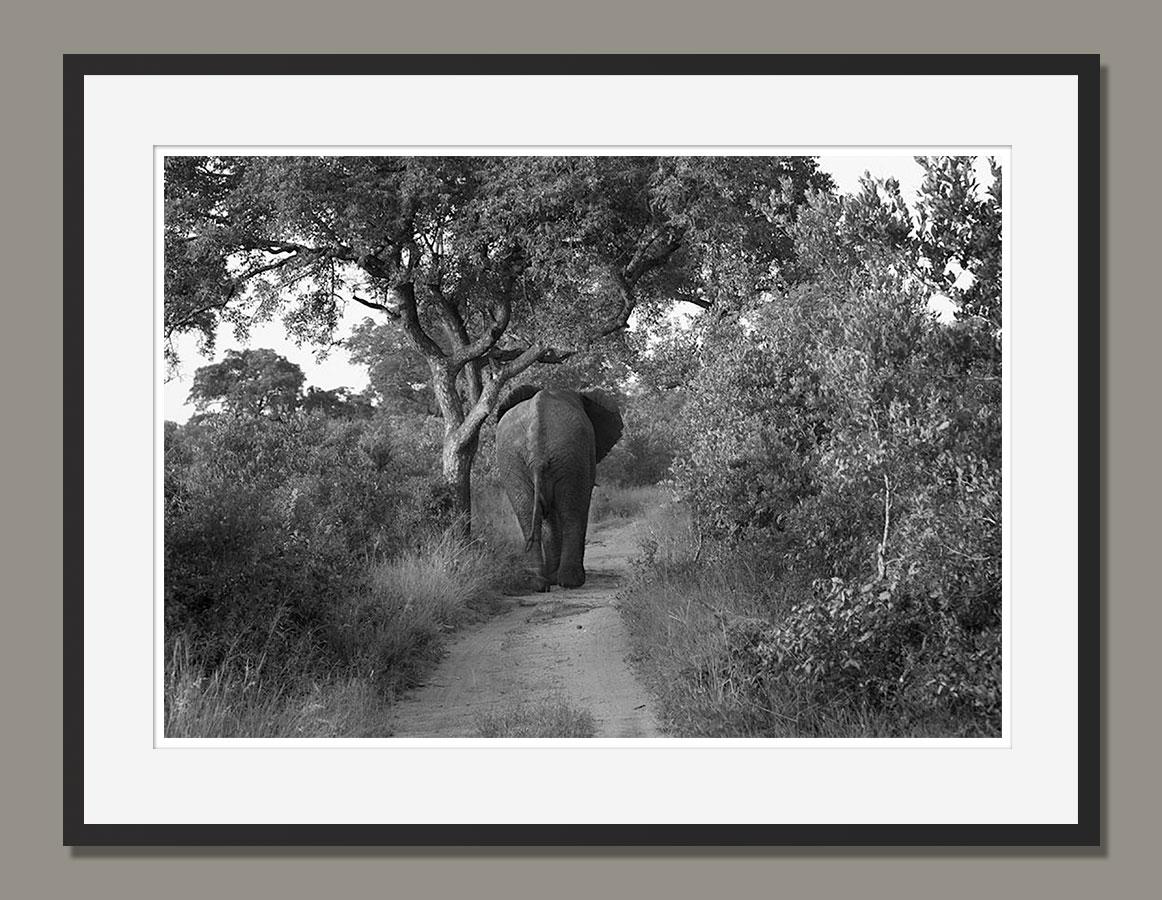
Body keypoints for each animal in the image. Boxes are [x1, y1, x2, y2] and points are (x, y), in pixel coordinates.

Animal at [495, 385, 622, 592]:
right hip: (570, 456)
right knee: (572, 512)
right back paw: (572, 582)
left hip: (516, 460)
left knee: (527, 513)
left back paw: (538, 584)